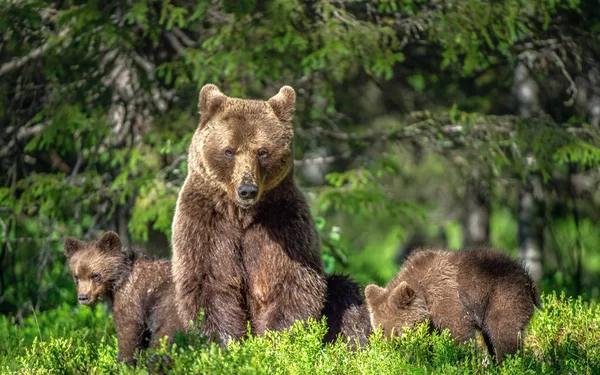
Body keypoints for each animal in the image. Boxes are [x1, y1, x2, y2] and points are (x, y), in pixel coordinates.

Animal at [64, 232, 180, 364]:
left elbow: (128, 331)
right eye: (76, 276)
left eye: (95, 275)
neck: (119, 280)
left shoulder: (130, 298)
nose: (83, 297)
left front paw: (124, 362)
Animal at [171, 85, 326, 344]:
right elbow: (209, 284)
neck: (240, 214)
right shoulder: (205, 223)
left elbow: (291, 284)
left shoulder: (284, 224)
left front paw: (275, 340)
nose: (247, 190)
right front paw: (225, 340)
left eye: (262, 152)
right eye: (229, 151)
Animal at [364, 248, 540, 362]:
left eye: (397, 333)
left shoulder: (446, 298)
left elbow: (459, 334)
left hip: (503, 296)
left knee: (504, 334)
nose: (393, 354)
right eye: (380, 332)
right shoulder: (430, 323)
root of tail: (528, 279)